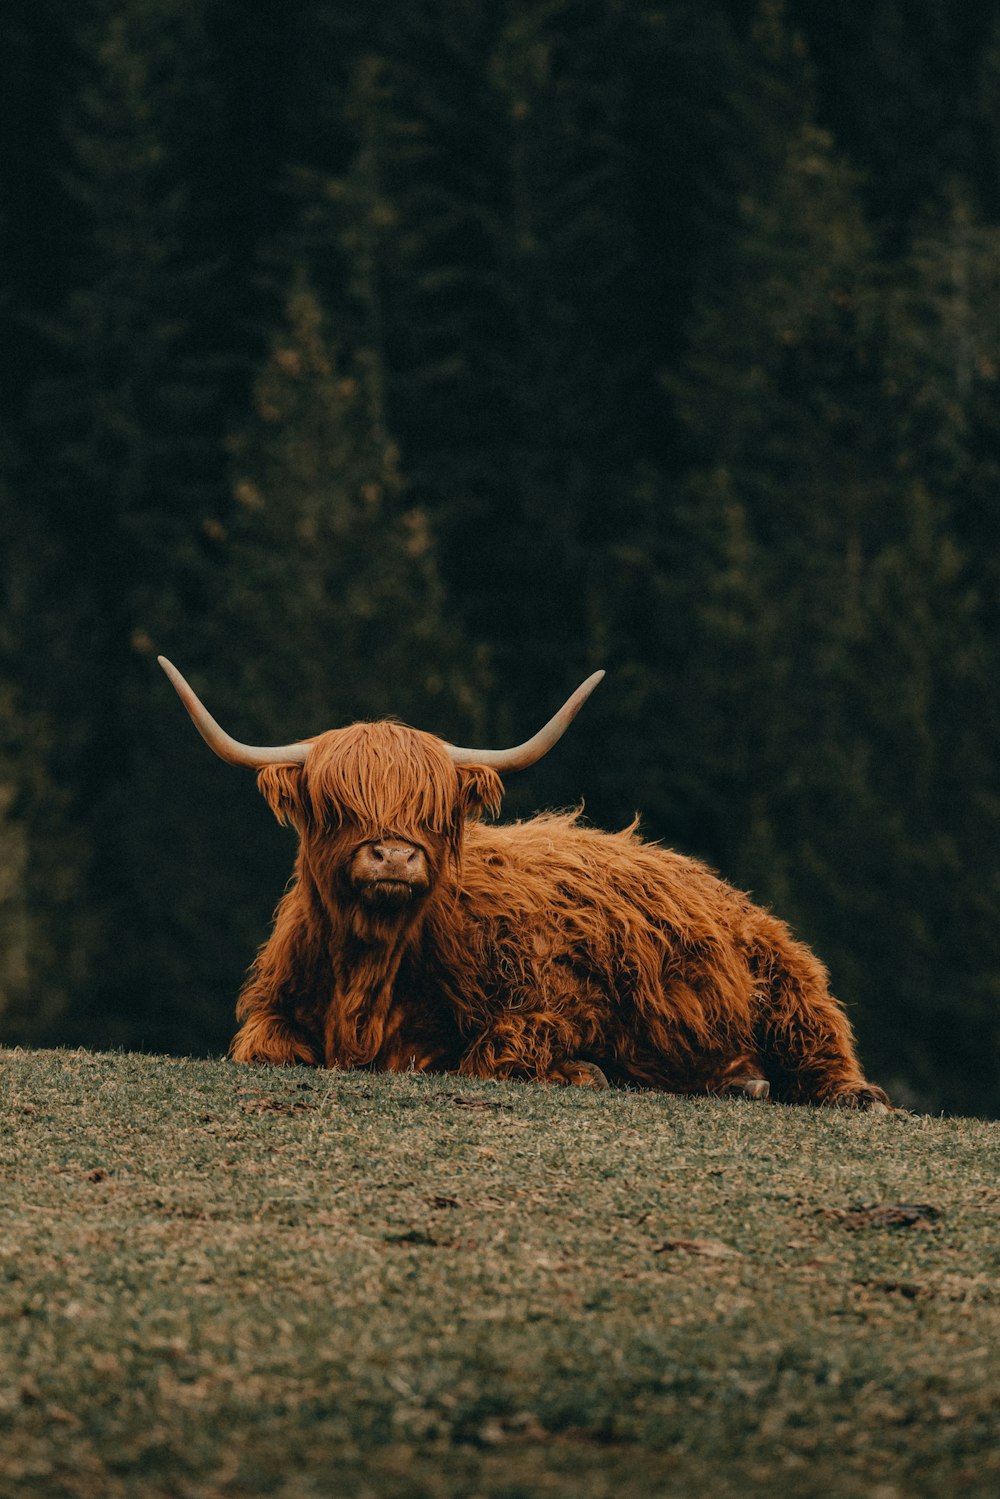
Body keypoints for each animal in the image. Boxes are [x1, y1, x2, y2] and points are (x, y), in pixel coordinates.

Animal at [158, 659, 893, 1115]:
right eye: (337, 807)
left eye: (435, 812)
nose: (393, 855)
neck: (367, 983)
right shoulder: (272, 1013)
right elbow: (266, 1047)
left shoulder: (557, 1000)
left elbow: (488, 1053)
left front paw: (583, 1072)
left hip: (788, 981)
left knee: (822, 1043)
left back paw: (842, 1094)